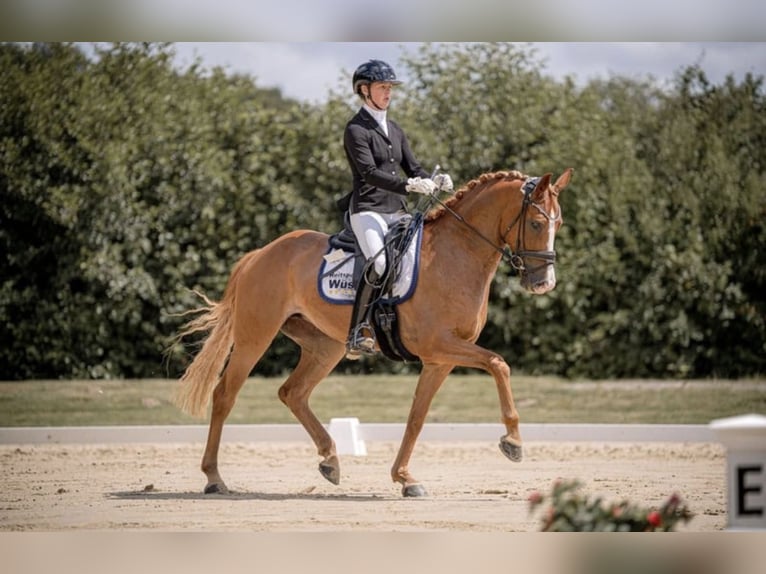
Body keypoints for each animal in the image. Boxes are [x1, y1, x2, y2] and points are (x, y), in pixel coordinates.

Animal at [175, 168, 572, 497]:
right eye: (537, 224)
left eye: (560, 223)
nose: (545, 284)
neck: (455, 255)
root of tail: (260, 253)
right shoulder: (440, 346)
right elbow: (499, 363)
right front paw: (513, 443)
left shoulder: (440, 359)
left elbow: (417, 417)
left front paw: (405, 478)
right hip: (255, 337)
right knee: (225, 395)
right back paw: (214, 478)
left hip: (326, 346)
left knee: (293, 393)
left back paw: (330, 461)